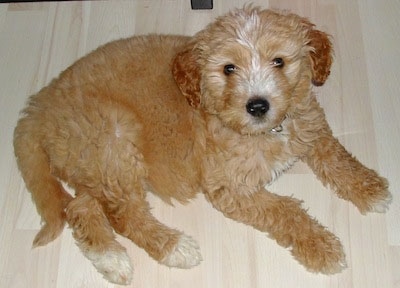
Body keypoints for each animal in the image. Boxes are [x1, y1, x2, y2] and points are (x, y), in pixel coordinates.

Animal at [14, 6, 392, 286]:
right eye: (229, 68)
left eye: (279, 62)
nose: (257, 105)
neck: (269, 130)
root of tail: (39, 106)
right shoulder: (229, 186)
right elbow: (285, 210)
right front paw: (321, 246)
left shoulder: (311, 125)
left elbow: (335, 155)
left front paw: (369, 188)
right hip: (115, 140)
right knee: (122, 214)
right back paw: (172, 247)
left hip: (95, 161)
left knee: (81, 208)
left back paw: (112, 260)